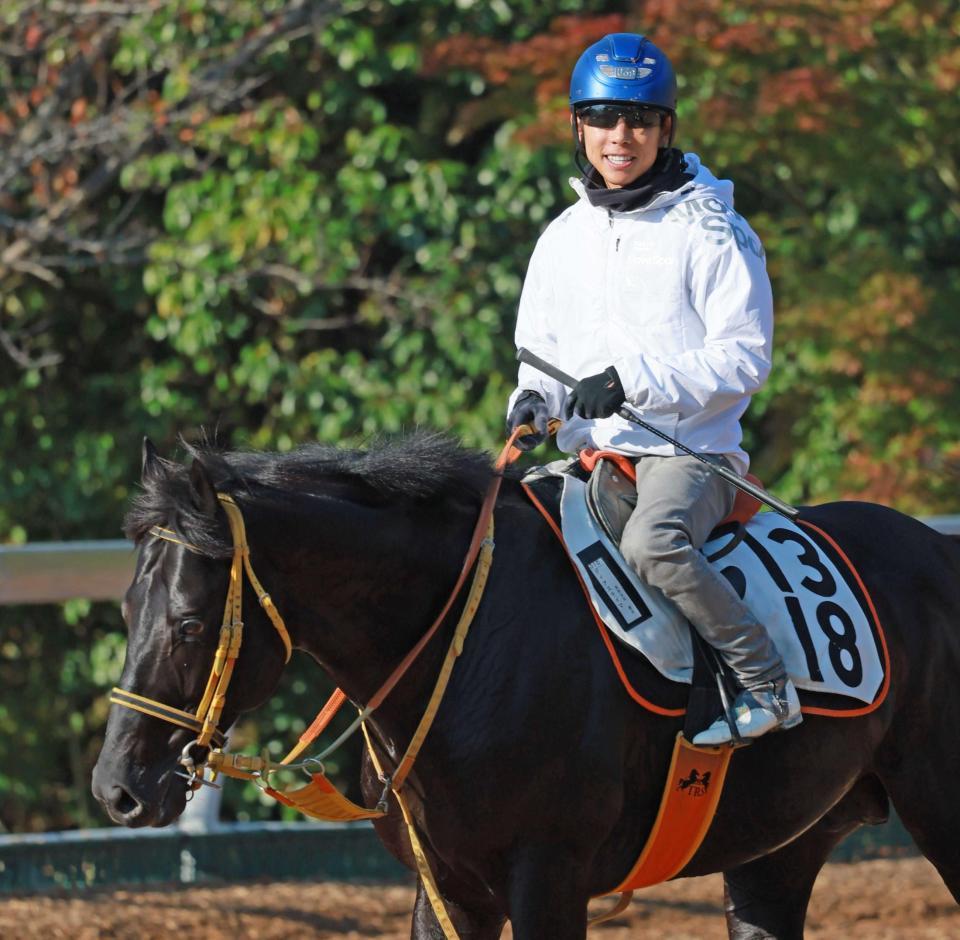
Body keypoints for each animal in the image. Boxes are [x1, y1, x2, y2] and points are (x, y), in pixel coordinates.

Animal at [94, 434, 960, 940]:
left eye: (189, 626)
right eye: (128, 608)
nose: (117, 789)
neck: (464, 641)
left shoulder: (549, 877)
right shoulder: (447, 890)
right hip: (777, 850)